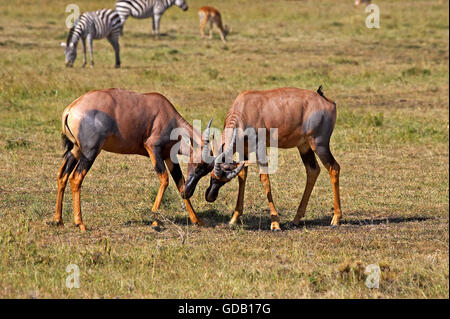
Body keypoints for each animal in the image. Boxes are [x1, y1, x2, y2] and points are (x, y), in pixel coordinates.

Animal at [52, 89, 214, 231]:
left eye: (207, 170)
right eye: (199, 165)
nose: (187, 193)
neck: (167, 113)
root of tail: (71, 109)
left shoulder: (169, 156)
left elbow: (179, 182)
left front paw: (197, 220)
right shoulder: (153, 148)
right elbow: (164, 179)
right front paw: (155, 220)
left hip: (75, 149)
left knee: (62, 175)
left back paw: (58, 220)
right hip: (90, 152)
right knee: (76, 178)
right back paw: (80, 224)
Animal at [204, 87, 342, 232]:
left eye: (224, 180)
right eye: (212, 175)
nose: (210, 197)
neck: (245, 107)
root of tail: (327, 101)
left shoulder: (260, 148)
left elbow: (264, 179)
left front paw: (275, 224)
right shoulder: (244, 151)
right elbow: (242, 176)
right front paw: (233, 219)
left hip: (319, 143)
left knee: (334, 167)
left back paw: (335, 219)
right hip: (304, 145)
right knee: (313, 170)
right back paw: (295, 220)